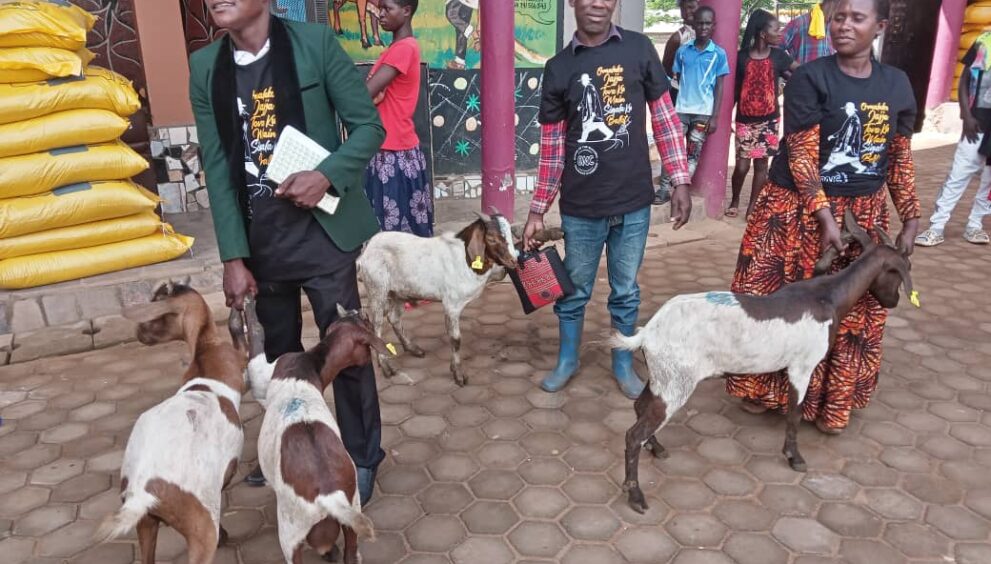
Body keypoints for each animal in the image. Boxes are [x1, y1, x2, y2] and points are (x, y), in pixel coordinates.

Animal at [96, 282, 260, 564]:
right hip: (201, 526)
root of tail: (142, 491)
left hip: (147, 523)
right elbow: (241, 340)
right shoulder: (240, 366)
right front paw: (240, 309)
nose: (139, 333)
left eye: (157, 304)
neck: (204, 349)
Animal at [246, 306, 390, 564]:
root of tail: (329, 496)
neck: (308, 363)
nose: (360, 310)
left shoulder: (264, 374)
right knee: (350, 552)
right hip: (352, 507)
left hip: (290, 531)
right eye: (366, 323)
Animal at [358, 214, 520, 386]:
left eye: (510, 233)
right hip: (377, 289)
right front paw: (458, 374)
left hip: (398, 293)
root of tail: (365, 252)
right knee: (376, 325)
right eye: (491, 238)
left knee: (394, 318)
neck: (464, 258)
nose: (513, 261)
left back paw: (413, 349)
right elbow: (455, 339)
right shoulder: (452, 305)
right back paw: (385, 365)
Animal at [616, 210, 920, 512]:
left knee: (640, 407)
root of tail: (647, 333)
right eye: (901, 269)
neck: (827, 296)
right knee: (633, 434)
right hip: (676, 383)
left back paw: (656, 447)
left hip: (662, 377)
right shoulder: (802, 366)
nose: (892, 302)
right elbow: (795, 412)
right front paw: (794, 457)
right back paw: (635, 494)